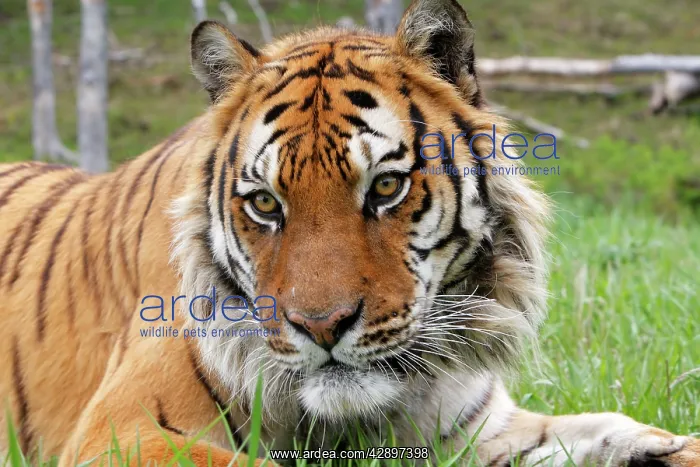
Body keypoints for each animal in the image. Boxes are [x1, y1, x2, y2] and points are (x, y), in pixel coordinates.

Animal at [0, 0, 698, 465]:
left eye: (385, 188)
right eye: (265, 203)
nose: (321, 326)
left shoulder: (477, 429)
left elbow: (600, 426)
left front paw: (670, 446)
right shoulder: (124, 430)